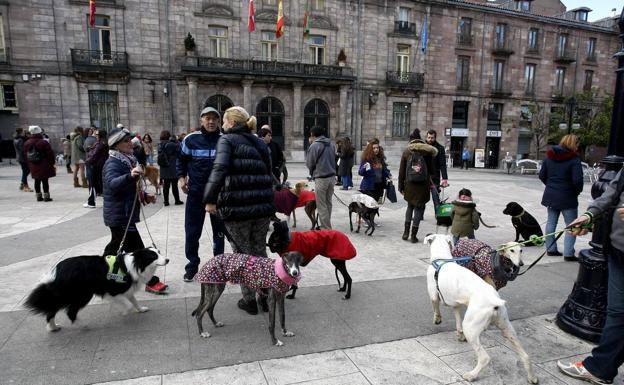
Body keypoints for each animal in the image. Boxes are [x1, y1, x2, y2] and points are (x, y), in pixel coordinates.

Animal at [24, 248, 169, 332]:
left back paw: (52, 327)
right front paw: (124, 313)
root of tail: (58, 270)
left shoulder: (127, 290)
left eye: (159, 252)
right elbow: (128, 304)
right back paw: (82, 325)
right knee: (70, 312)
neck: (135, 265)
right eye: (153, 256)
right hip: (81, 294)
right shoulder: (113, 291)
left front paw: (141, 309)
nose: (167, 259)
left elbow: (134, 301)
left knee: (52, 309)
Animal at [426, 232, 540, 382]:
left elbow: (435, 306)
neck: (442, 260)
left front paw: (437, 319)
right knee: (525, 355)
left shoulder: (433, 294)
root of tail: (494, 300)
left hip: (471, 328)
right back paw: (532, 378)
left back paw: (471, 375)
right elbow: (457, 320)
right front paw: (459, 335)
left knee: (485, 358)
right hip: (507, 329)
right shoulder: (456, 303)